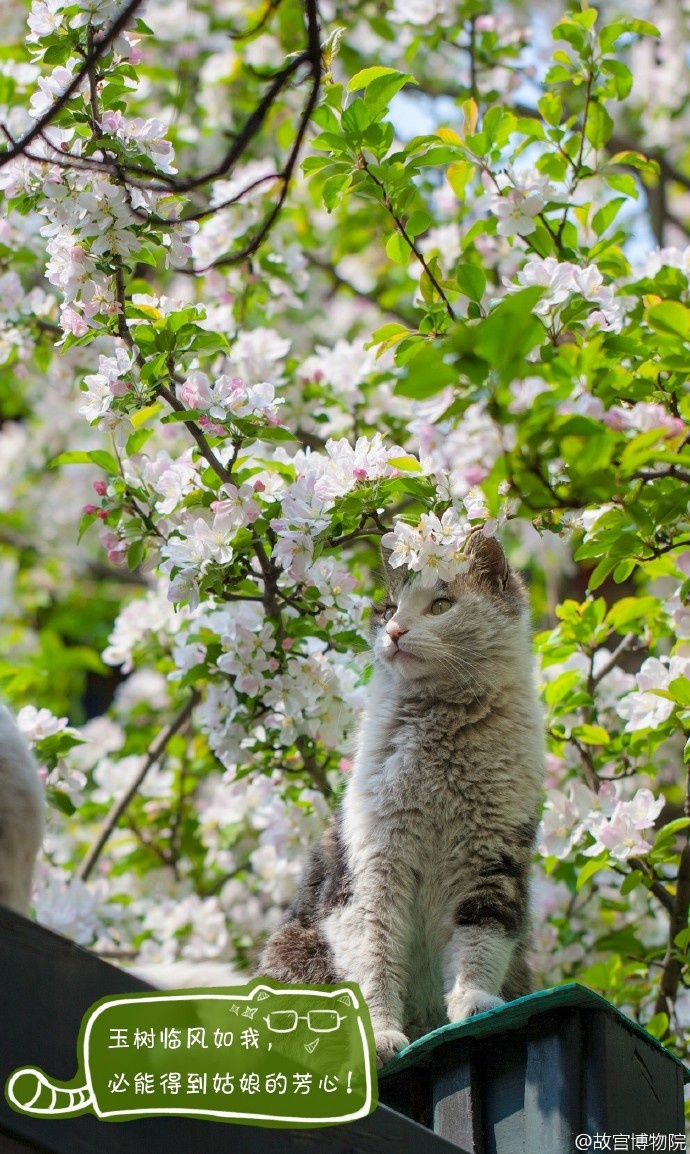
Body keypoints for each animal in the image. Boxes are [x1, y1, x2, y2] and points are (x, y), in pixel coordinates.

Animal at [259, 535, 546, 1066]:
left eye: (441, 605)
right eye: (390, 607)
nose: (394, 631)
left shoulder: (493, 861)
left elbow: (481, 942)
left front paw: (475, 1004)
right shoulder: (373, 871)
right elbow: (376, 954)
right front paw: (381, 1036)